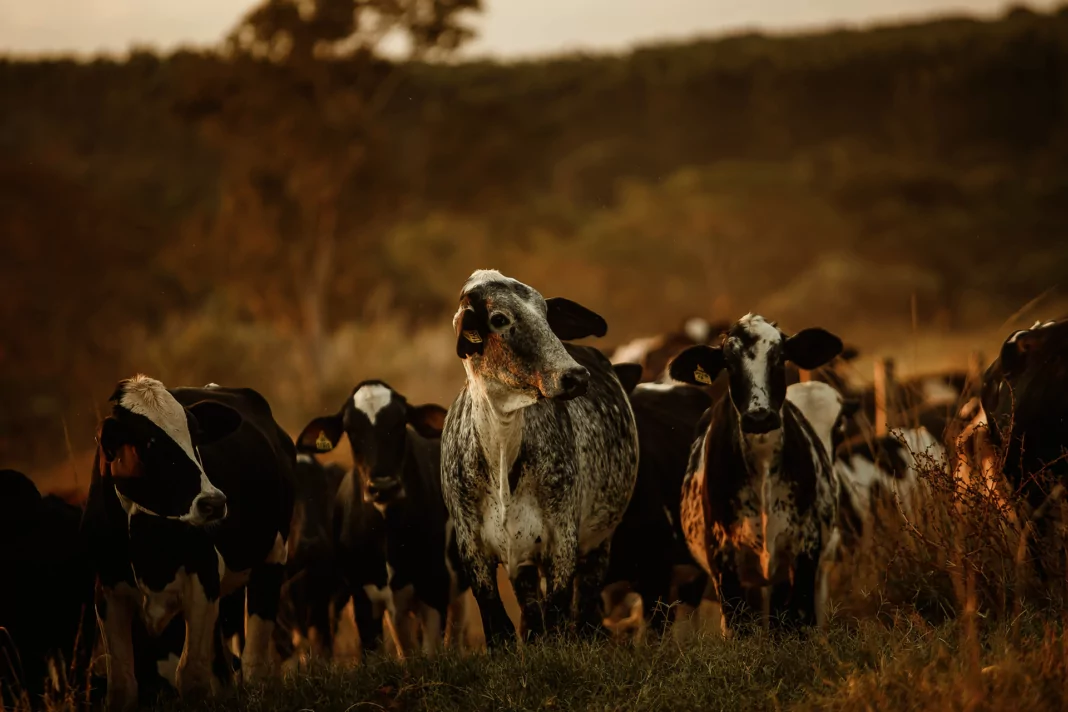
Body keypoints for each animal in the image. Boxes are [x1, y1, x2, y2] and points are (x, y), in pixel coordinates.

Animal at [81, 375, 294, 708]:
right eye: (149, 443)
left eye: (196, 436)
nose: (213, 502)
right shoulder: (107, 588)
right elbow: (123, 685)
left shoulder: (203, 577)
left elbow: (191, 675)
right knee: (223, 667)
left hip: (271, 557)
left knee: (253, 660)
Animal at [437, 270, 636, 649]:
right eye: (500, 319)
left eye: (545, 312)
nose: (576, 376)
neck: (501, 455)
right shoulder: (474, 552)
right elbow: (499, 628)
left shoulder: (562, 541)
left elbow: (556, 618)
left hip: (599, 542)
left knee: (582, 610)